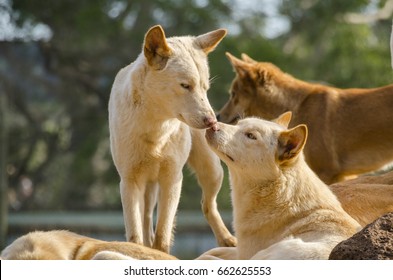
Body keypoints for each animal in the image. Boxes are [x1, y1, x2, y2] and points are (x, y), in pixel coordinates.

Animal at [198, 112, 360, 260]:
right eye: (238, 124)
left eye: (251, 136)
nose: (212, 125)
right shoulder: (238, 252)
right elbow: (211, 251)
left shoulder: (244, 256)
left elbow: (208, 256)